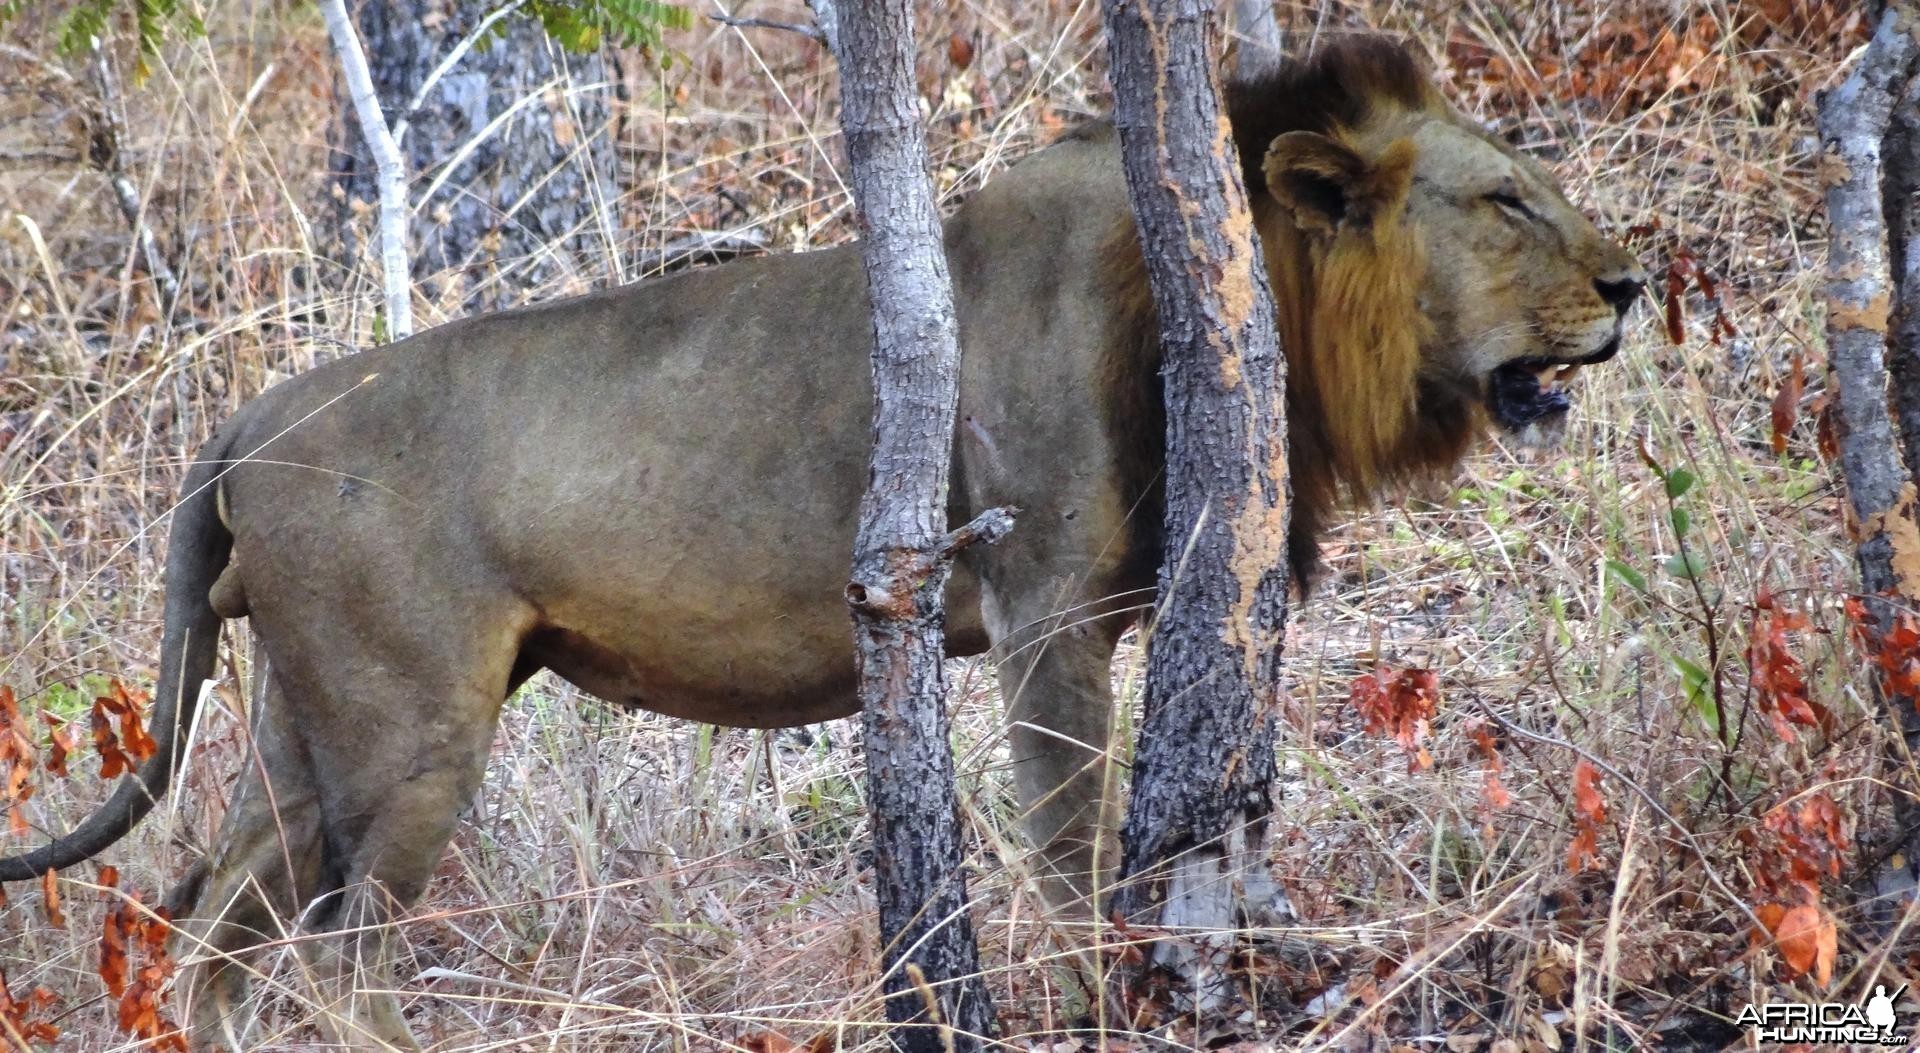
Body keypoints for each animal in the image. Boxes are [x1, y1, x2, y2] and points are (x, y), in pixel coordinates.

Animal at [7, 36, 1643, 1045]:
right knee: (331, 963)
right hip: (410, 729)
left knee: (210, 934)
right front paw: (1084, 998)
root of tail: (246, 418)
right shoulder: (1047, 612)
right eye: (1507, 201)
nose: (1634, 285)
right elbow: (1067, 846)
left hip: (305, 728)